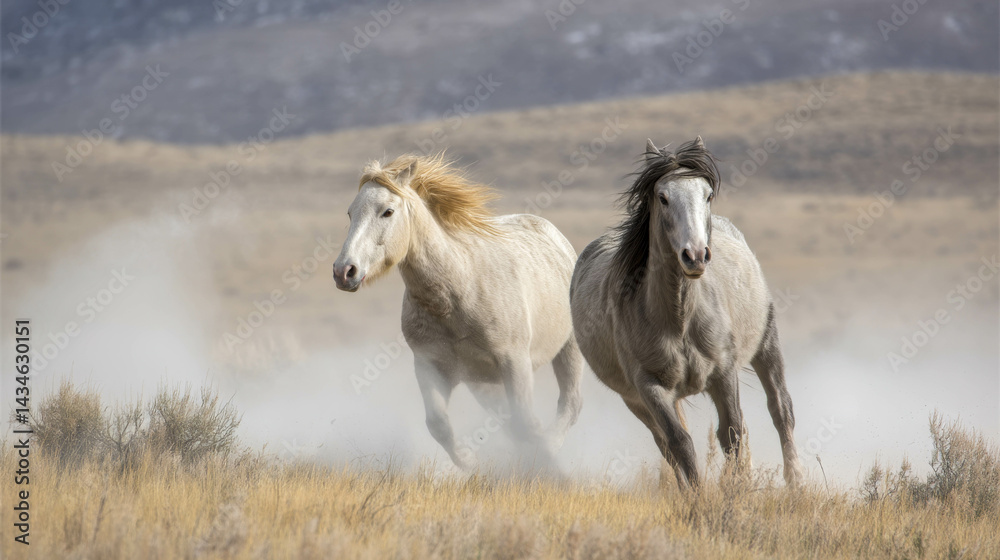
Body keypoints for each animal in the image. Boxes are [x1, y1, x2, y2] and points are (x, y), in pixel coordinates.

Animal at [332, 153, 583, 471]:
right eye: (350, 213)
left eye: (387, 212)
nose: (344, 271)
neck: (457, 294)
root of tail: (556, 238)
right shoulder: (431, 367)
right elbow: (438, 424)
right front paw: (470, 462)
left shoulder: (515, 363)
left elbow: (526, 422)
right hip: (483, 383)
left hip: (568, 349)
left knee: (570, 405)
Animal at [569, 137, 804, 488]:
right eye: (662, 197)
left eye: (707, 194)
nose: (694, 255)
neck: (680, 319)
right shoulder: (650, 388)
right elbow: (680, 443)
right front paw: (698, 494)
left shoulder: (724, 373)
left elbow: (732, 432)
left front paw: (735, 487)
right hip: (636, 400)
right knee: (664, 443)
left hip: (766, 344)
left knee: (780, 408)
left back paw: (796, 483)